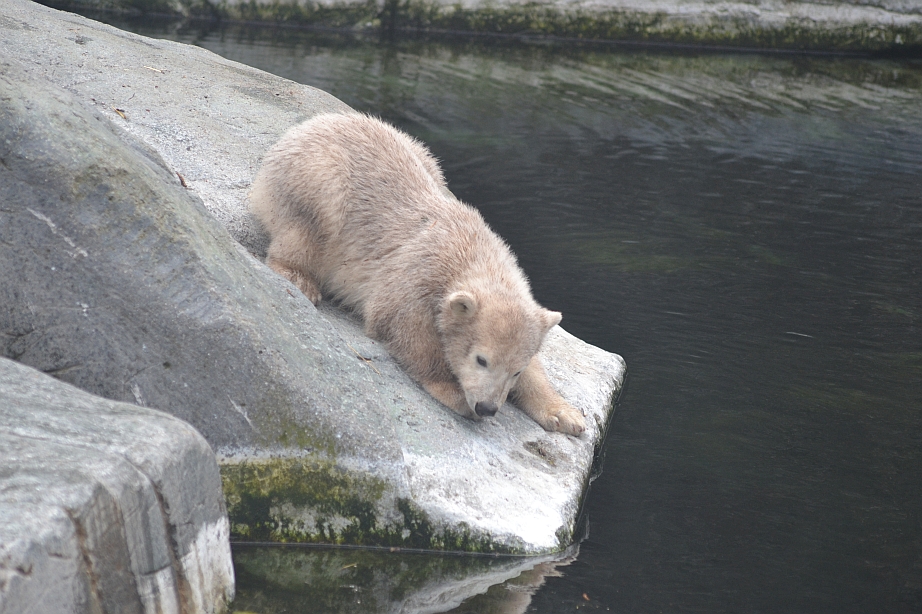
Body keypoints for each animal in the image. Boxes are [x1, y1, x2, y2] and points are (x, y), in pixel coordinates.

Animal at [249, 112, 586, 436]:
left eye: (515, 370)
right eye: (481, 359)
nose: (487, 407)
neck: (471, 250)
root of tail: (308, 125)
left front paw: (565, 414)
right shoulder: (417, 271)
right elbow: (406, 326)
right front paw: (454, 392)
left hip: (423, 154)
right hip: (319, 178)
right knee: (310, 222)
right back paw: (299, 278)